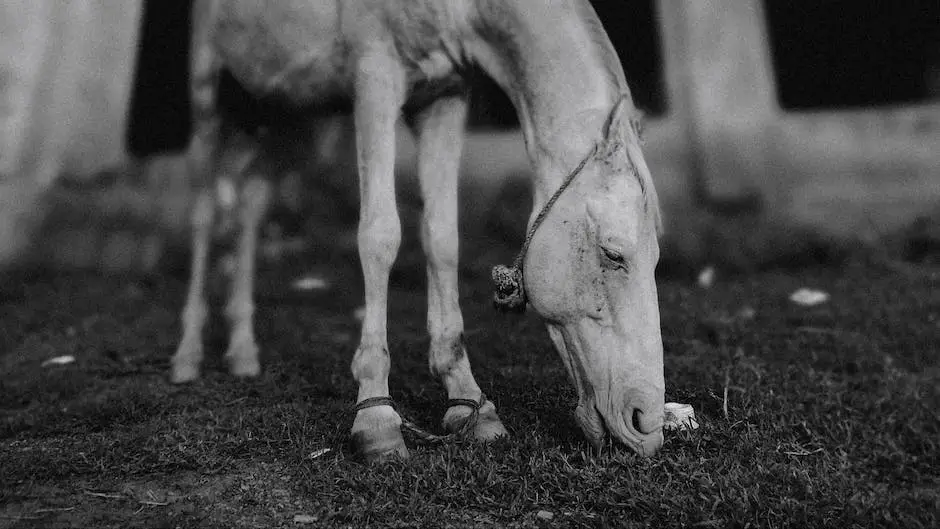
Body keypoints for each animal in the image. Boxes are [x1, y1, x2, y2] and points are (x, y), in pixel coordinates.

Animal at [171, 0, 668, 460]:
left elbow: (442, 238)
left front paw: (469, 402)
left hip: (276, 106)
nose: (645, 423)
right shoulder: (374, 80)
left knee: (250, 205)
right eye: (613, 253)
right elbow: (380, 235)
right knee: (203, 211)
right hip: (207, 92)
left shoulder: (443, 97)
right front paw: (376, 418)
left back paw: (243, 351)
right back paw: (188, 355)